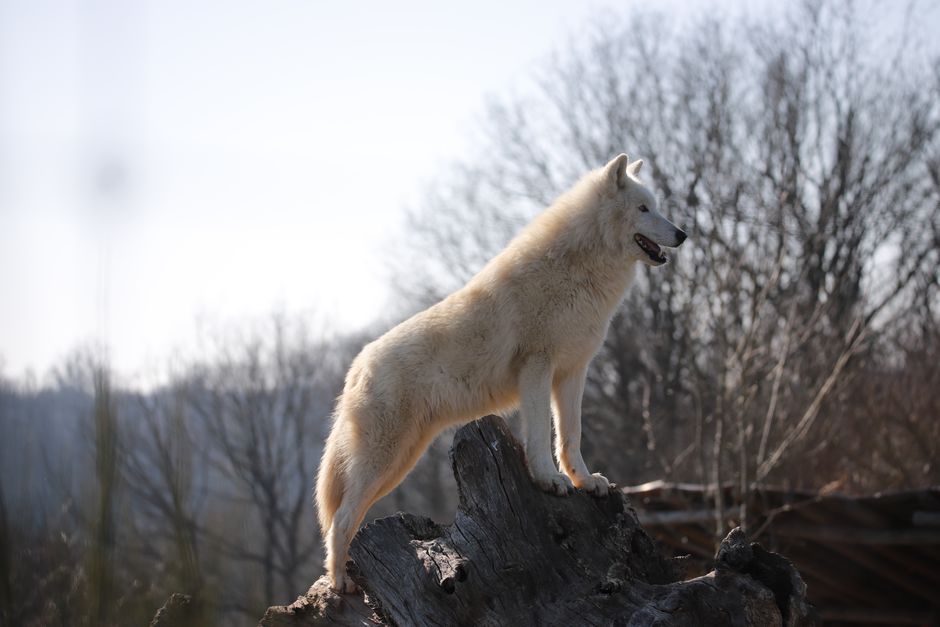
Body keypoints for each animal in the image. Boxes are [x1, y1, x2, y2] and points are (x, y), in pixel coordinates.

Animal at [316, 154, 687, 592]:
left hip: (399, 464)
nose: (682, 234)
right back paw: (340, 582)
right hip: (384, 460)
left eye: (656, 206)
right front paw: (548, 480)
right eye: (644, 208)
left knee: (348, 516)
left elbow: (571, 437)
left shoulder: (573, 372)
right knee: (339, 520)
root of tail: (356, 368)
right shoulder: (537, 368)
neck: (580, 269)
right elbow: (541, 436)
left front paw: (584, 481)